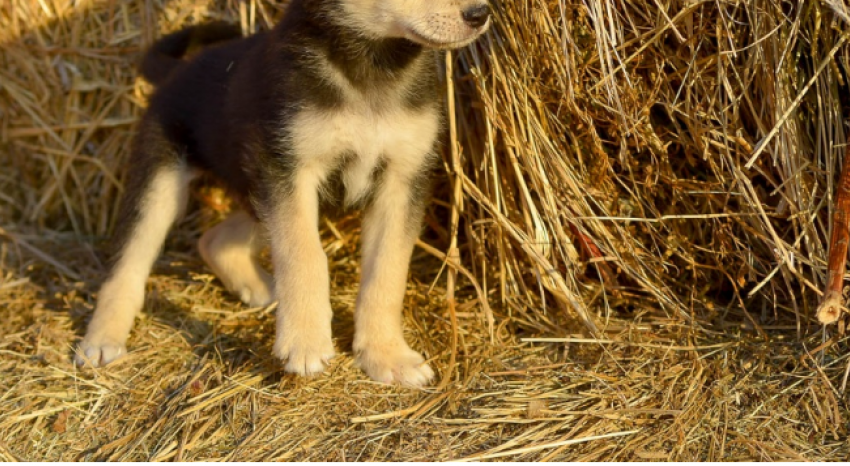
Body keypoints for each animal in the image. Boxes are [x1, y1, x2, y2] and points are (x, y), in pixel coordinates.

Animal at [77, 0, 494, 386]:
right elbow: (305, 256)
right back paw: (101, 340)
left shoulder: (401, 181)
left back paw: (261, 288)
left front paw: (386, 354)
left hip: (254, 189)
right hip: (163, 184)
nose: (480, 14)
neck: (372, 63)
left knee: (213, 239)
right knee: (127, 266)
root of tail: (176, 71)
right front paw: (305, 341)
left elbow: (387, 273)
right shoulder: (290, 171)